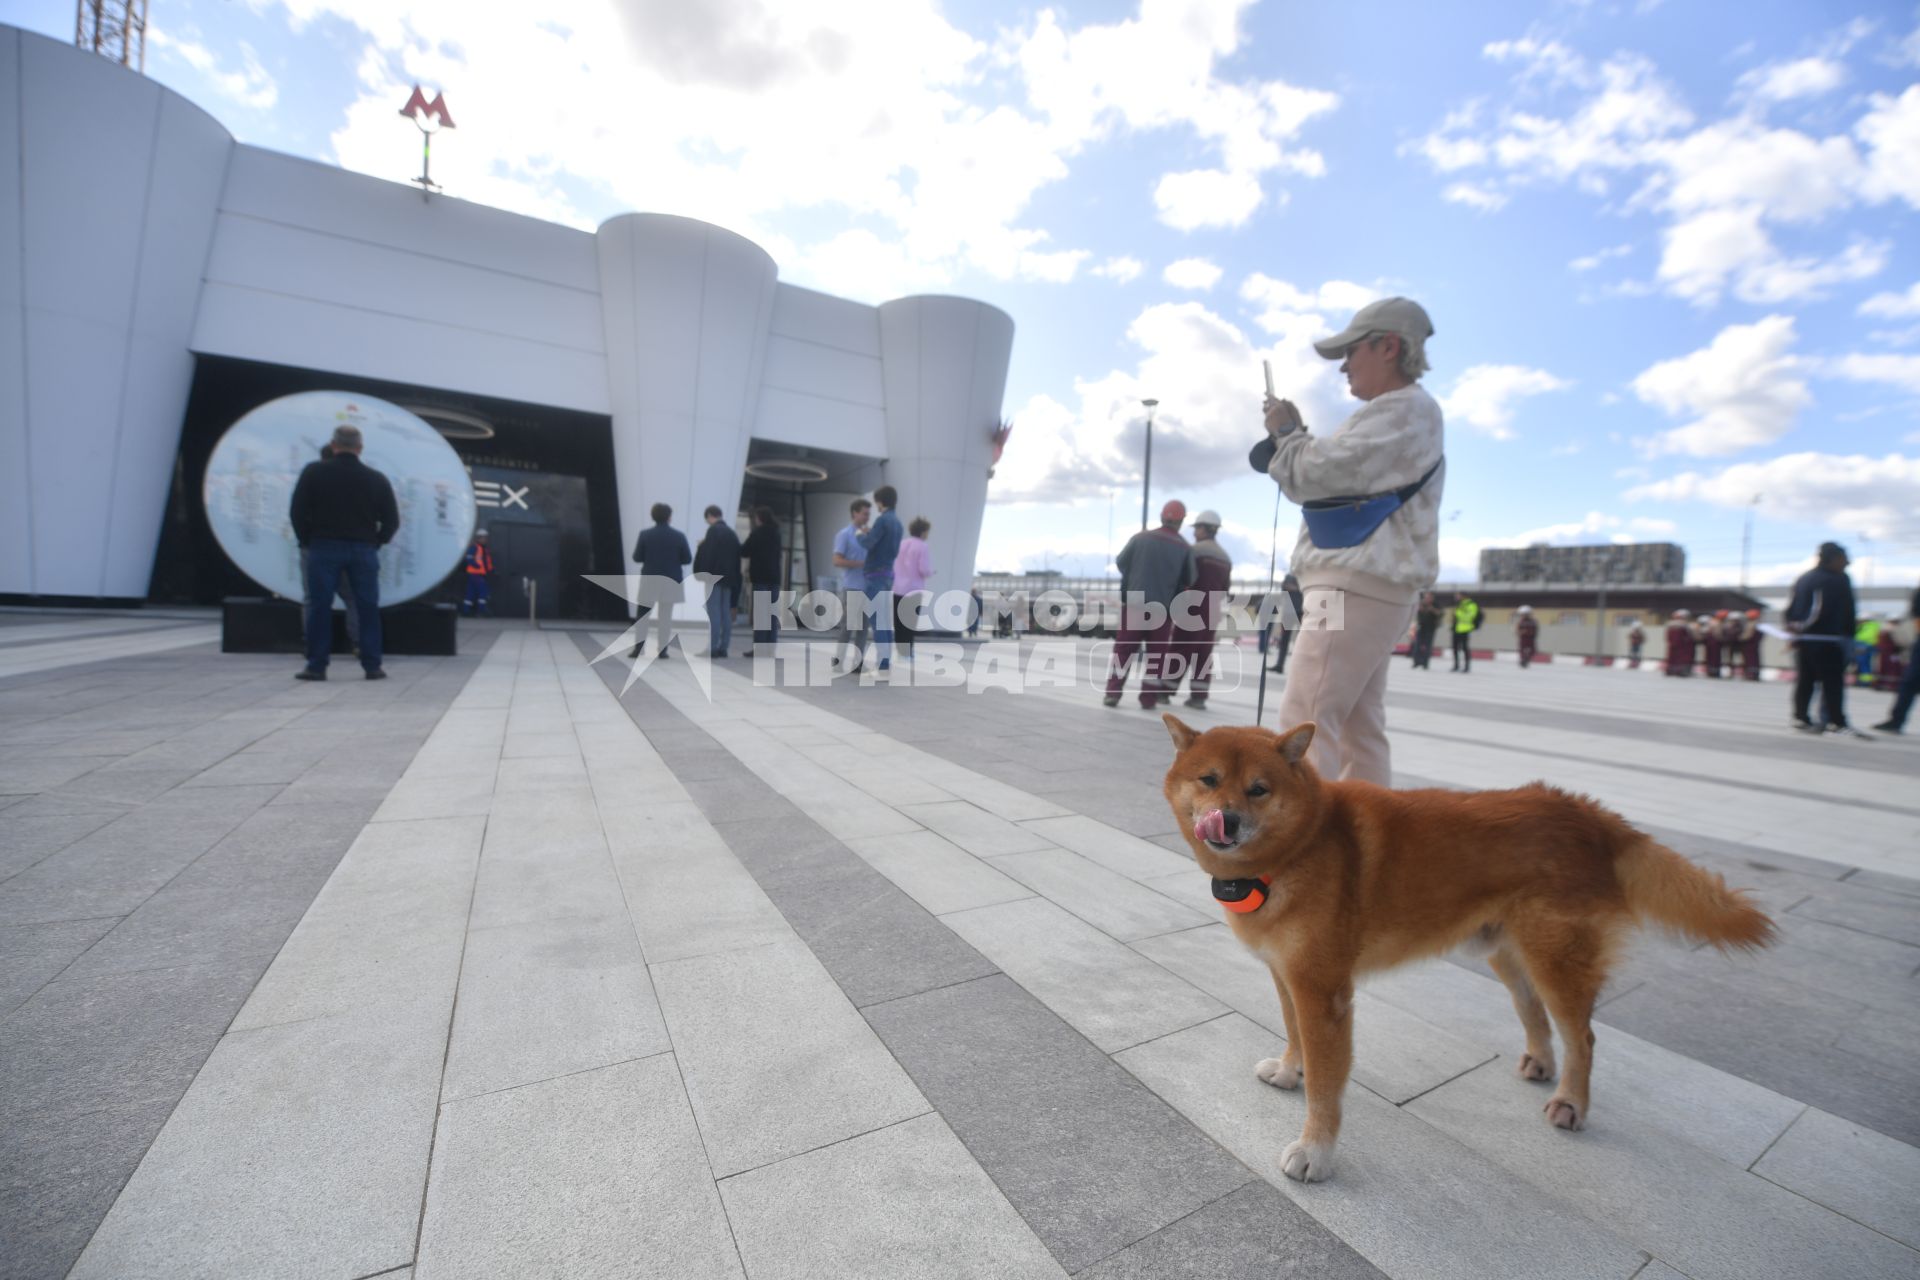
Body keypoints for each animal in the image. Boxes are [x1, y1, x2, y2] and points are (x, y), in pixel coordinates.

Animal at [1152, 710, 1766, 1182]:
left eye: (1259, 789)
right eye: (1208, 779)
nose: (1226, 820)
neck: (1302, 846)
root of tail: (1587, 813)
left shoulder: (1325, 993)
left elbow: (1327, 1087)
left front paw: (1315, 1153)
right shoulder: (1289, 976)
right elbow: (1294, 1035)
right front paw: (1288, 1071)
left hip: (1555, 959)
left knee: (1584, 1037)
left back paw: (1571, 1100)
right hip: (1508, 955)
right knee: (1534, 1012)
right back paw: (1540, 1063)